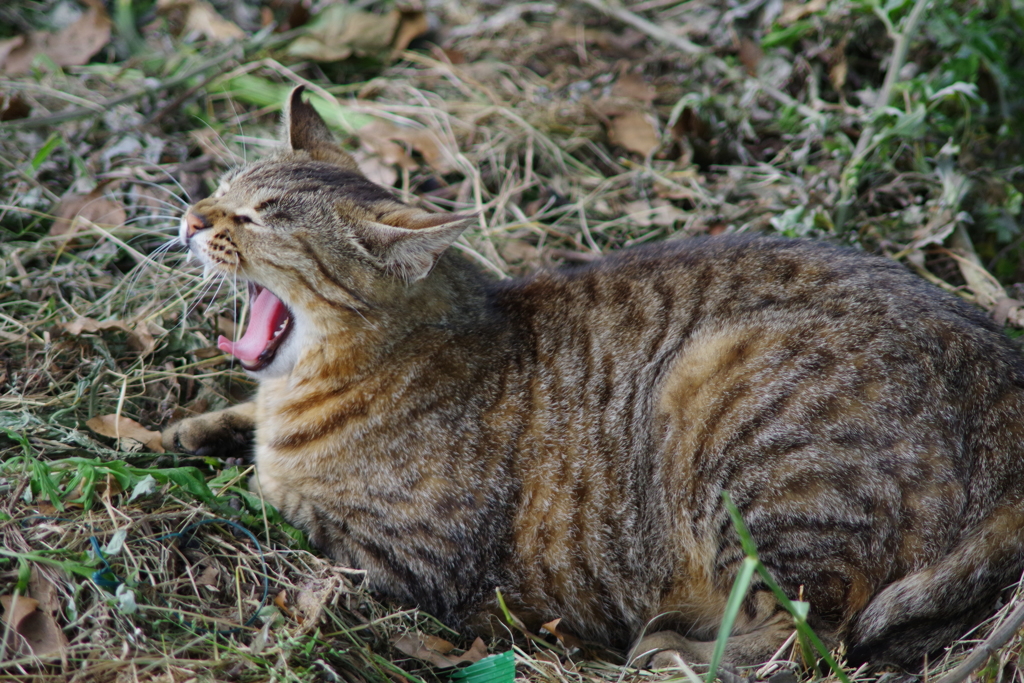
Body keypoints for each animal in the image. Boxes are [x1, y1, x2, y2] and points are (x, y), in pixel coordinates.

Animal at [163, 87, 1024, 671]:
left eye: (261, 216)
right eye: (228, 186)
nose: (193, 215)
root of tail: (1003, 368)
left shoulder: (405, 563)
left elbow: (276, 509)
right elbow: (234, 430)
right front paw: (175, 432)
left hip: (729, 412)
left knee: (813, 634)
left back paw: (673, 651)